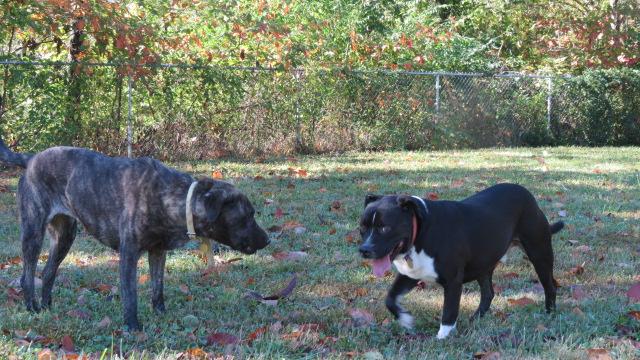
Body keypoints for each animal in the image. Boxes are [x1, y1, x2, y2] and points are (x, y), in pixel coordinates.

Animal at [0, 138, 270, 330]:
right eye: (248, 215)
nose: (268, 240)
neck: (175, 197)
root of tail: (31, 159)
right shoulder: (129, 254)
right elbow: (131, 296)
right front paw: (133, 327)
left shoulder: (158, 251)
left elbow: (157, 288)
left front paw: (160, 314)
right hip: (33, 232)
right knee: (27, 275)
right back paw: (32, 308)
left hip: (65, 236)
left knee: (48, 272)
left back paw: (47, 307)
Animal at [358, 184, 564, 338]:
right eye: (362, 228)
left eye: (385, 228)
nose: (364, 250)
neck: (421, 231)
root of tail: (527, 194)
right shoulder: (411, 274)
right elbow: (390, 298)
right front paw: (405, 319)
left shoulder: (452, 282)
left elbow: (449, 312)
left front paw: (443, 338)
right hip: (484, 263)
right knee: (488, 293)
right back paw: (476, 318)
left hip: (539, 253)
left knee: (550, 285)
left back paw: (550, 313)